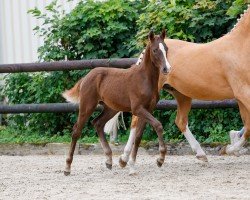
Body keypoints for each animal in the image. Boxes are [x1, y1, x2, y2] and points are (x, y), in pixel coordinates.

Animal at [61, 29, 169, 175]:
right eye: (155, 50)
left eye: (166, 49)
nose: (166, 68)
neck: (145, 79)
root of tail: (86, 77)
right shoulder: (137, 109)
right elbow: (158, 125)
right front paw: (160, 159)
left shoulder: (148, 109)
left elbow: (139, 136)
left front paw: (131, 165)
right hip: (87, 106)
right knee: (76, 131)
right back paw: (67, 167)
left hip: (111, 109)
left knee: (97, 123)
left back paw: (108, 160)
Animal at [115, 5, 250, 173]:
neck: (239, 47)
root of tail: (145, 51)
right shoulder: (243, 93)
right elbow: (249, 126)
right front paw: (230, 149)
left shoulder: (241, 98)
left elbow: (247, 125)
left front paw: (231, 147)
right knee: (135, 120)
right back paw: (124, 159)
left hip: (182, 95)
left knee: (180, 121)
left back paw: (201, 155)